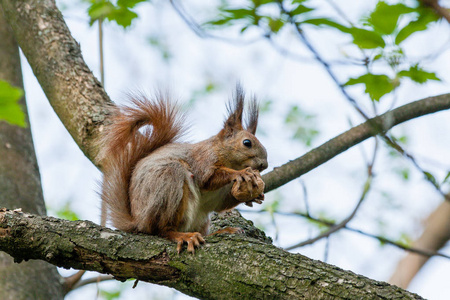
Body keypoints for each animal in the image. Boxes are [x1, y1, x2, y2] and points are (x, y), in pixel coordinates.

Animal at [96, 85, 268, 253]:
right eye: (247, 143)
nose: (264, 165)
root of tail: (138, 221)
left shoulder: (218, 195)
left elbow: (221, 204)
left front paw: (255, 196)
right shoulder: (203, 160)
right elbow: (207, 179)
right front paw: (240, 173)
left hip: (200, 218)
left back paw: (222, 231)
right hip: (168, 184)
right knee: (161, 230)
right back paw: (183, 236)